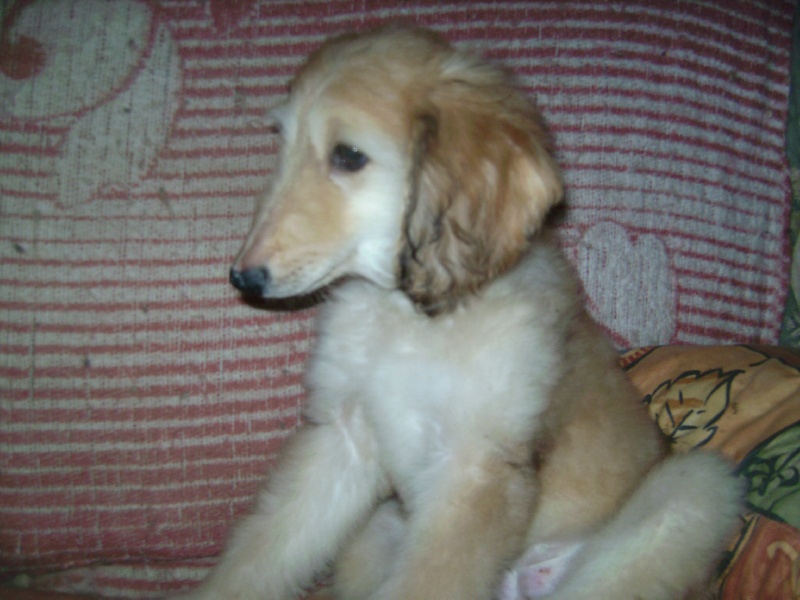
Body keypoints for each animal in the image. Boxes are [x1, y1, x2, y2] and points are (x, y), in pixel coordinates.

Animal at [178, 26, 743, 600]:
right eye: (284, 143)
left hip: (693, 491)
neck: (408, 318)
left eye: (349, 156)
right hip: (376, 534)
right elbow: (263, 552)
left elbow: (430, 580)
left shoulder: (475, 470)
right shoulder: (343, 438)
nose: (243, 278)